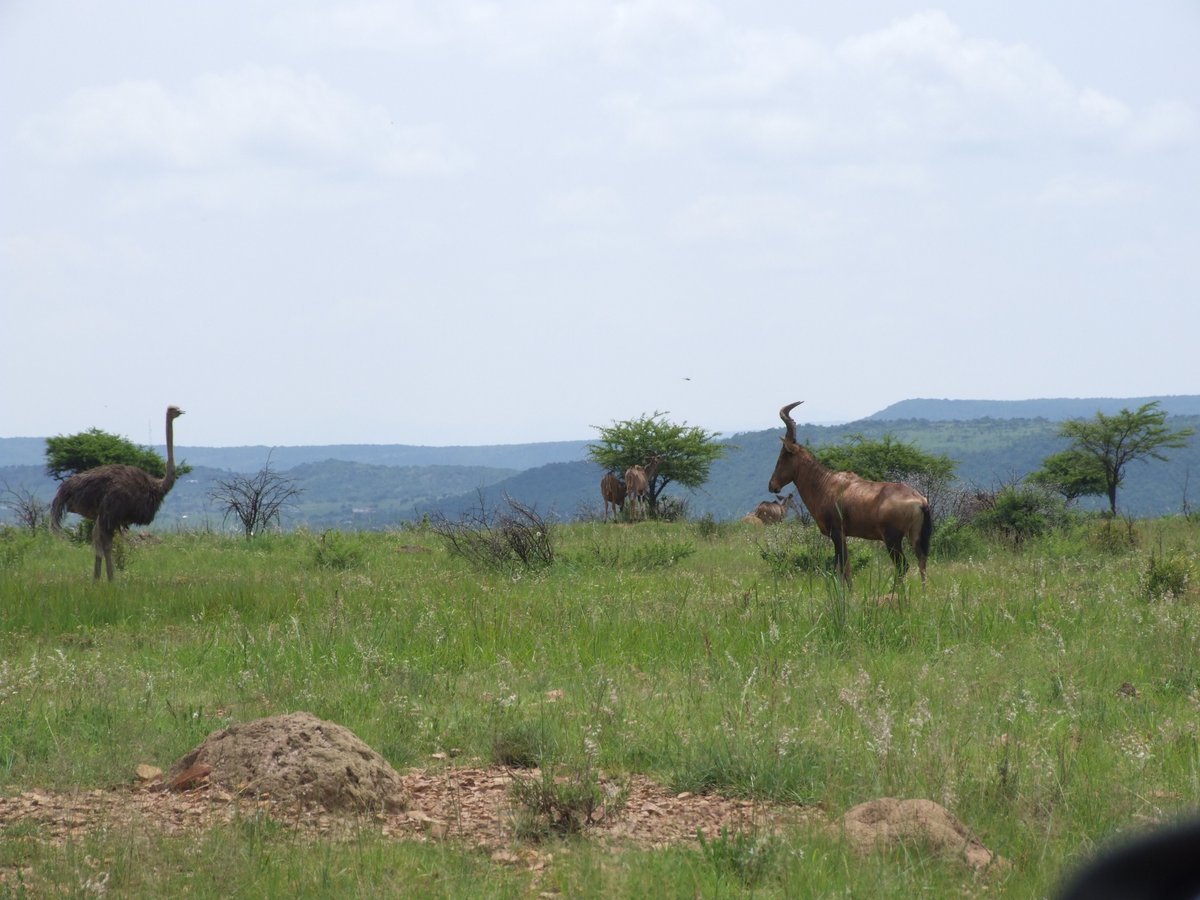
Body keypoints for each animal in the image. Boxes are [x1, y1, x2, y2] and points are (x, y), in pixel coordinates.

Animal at [763, 400, 931, 585]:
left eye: (783, 455)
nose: (772, 485)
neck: (826, 483)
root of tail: (921, 501)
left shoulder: (837, 534)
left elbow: (841, 569)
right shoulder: (842, 536)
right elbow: (846, 569)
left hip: (892, 539)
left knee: (903, 566)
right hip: (915, 537)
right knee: (922, 562)